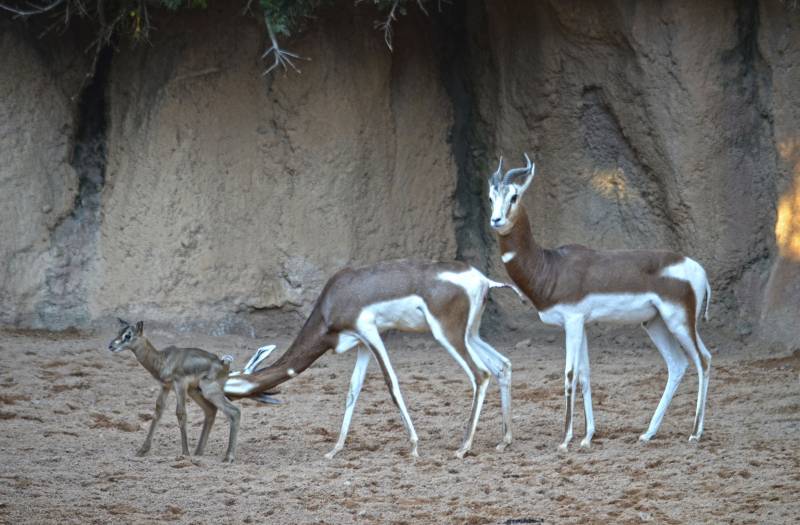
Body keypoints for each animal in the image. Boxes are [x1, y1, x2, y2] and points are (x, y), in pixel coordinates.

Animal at [108, 322, 242, 460]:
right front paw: (142, 450)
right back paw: (198, 452)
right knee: (211, 410)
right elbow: (158, 411)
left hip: (209, 391)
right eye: (119, 331)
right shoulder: (165, 387)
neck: (163, 360)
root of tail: (223, 363)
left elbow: (181, 413)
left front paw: (185, 453)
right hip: (194, 391)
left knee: (234, 412)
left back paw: (228, 457)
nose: (111, 346)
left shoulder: (179, 384)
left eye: (128, 335)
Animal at [225, 260, 524, 456]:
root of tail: (483, 279)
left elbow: (391, 384)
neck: (332, 302)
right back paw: (505, 440)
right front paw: (335, 449)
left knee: (480, 374)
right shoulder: (362, 344)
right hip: (470, 334)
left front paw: (414, 445)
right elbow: (353, 390)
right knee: (503, 365)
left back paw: (463, 447)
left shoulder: (371, 332)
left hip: (447, 334)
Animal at [488, 154, 712, 448]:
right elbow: (585, 374)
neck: (551, 267)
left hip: (680, 322)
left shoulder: (572, 321)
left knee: (703, 360)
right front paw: (587, 437)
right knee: (677, 364)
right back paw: (648, 433)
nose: (496, 220)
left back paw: (695, 433)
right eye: (491, 197)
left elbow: (570, 375)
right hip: (655, 324)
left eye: (514, 196)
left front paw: (565, 440)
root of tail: (700, 271)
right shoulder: (581, 323)